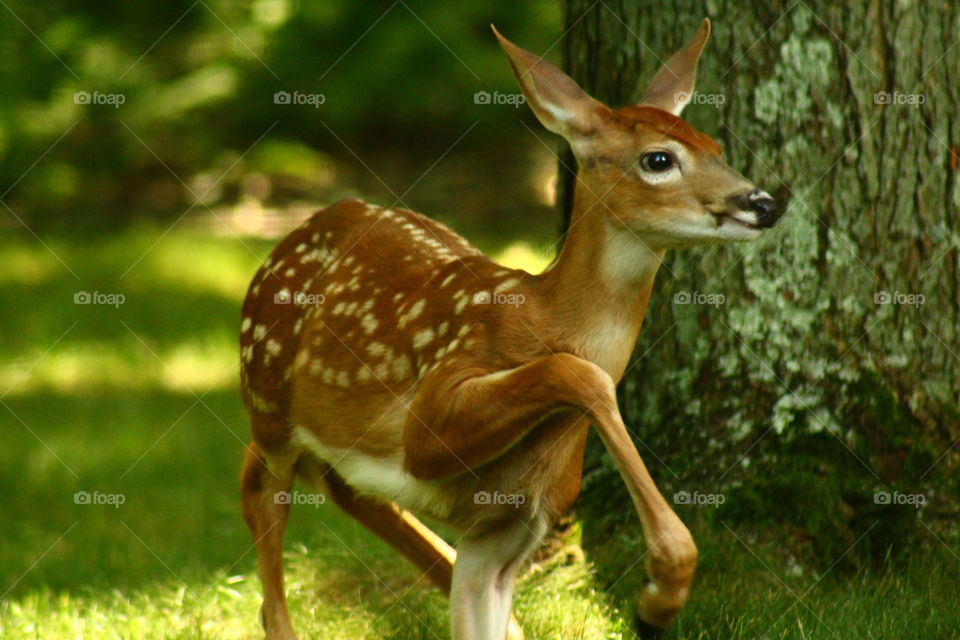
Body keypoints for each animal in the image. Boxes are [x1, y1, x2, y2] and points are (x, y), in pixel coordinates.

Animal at [238, 18, 780, 640]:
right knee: (260, 484)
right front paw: (658, 598)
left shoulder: (507, 525)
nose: (763, 203)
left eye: (717, 148)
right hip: (267, 396)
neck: (543, 312)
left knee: (354, 493)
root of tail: (296, 231)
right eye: (659, 159)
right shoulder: (435, 407)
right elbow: (582, 372)